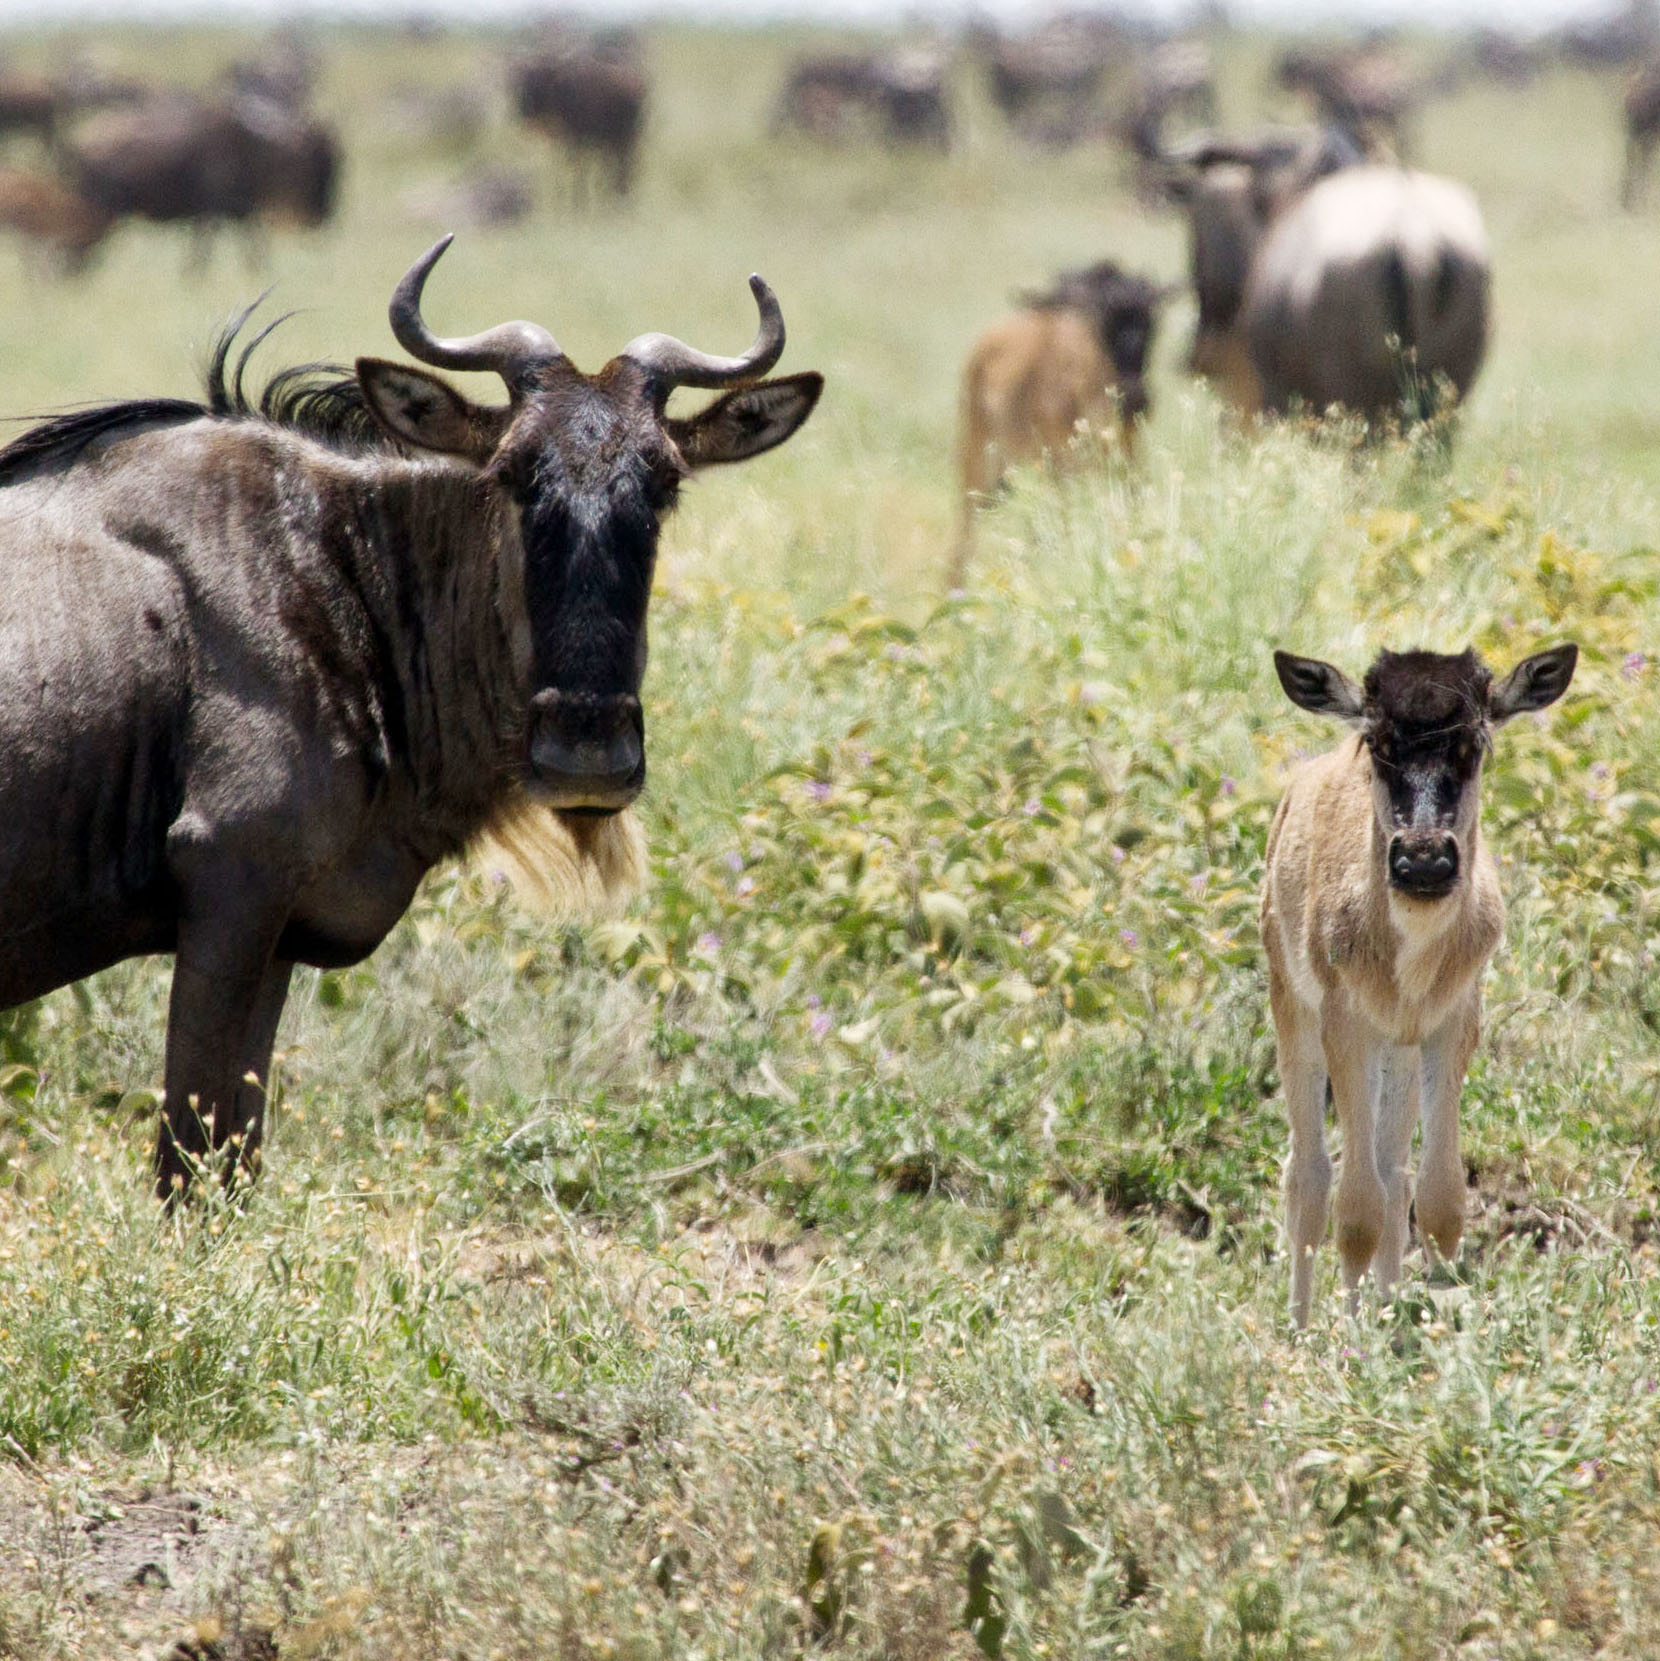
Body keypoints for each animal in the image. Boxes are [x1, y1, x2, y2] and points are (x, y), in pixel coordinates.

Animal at [1262, 641, 1575, 1328]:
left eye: (1474, 742)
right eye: (1378, 742)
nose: (1424, 860)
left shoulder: (1451, 1020)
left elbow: (1437, 1198)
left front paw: (1428, 1309)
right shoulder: (1345, 1021)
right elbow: (1353, 1206)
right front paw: (1347, 1335)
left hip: (1399, 1049)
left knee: (1392, 1171)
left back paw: (1385, 1302)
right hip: (1291, 1002)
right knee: (1308, 1174)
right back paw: (1301, 1323)